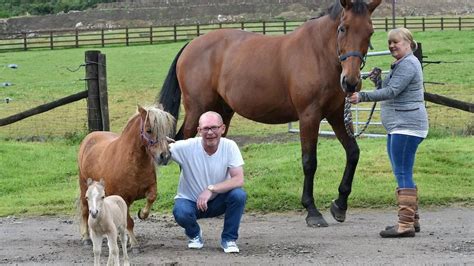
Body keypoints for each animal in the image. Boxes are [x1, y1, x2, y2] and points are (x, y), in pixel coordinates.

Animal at [78, 104, 175, 251]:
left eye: (166, 130)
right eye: (149, 130)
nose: (165, 156)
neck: (133, 163)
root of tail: (90, 136)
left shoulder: (150, 188)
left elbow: (151, 199)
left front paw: (142, 214)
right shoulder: (123, 197)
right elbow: (129, 221)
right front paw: (134, 244)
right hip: (84, 187)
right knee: (84, 210)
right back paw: (86, 238)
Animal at [158, 0, 382, 229]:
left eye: (370, 32)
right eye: (343, 28)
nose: (351, 82)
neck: (318, 54)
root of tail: (191, 44)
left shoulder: (336, 115)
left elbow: (353, 153)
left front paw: (340, 205)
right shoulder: (309, 116)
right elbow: (309, 162)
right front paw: (312, 210)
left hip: (222, 112)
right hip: (197, 108)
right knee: (183, 142)